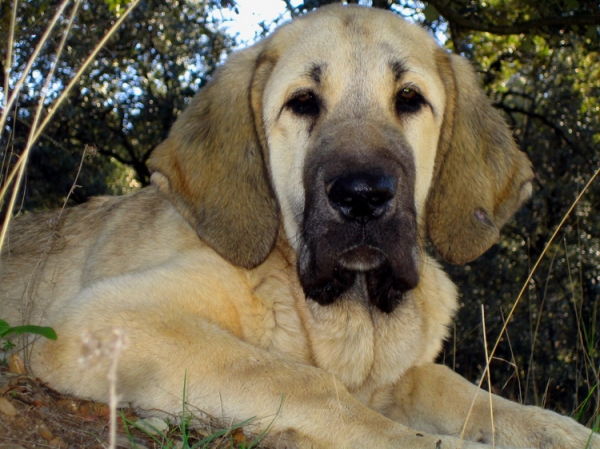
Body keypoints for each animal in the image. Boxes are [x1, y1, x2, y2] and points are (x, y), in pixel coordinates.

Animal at [1, 4, 600, 448]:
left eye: (409, 98)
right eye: (302, 103)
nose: (362, 197)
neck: (345, 312)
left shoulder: (402, 375)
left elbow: (470, 394)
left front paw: (562, 430)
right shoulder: (107, 317)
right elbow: (308, 382)